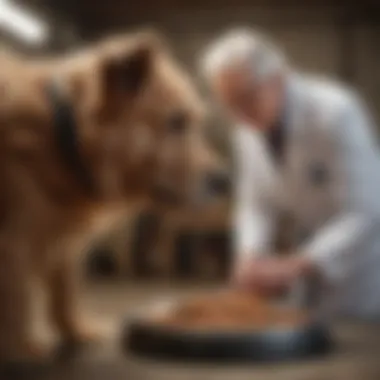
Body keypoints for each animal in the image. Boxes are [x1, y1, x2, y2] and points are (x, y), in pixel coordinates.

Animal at [0, 29, 220, 362]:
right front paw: (20, 348)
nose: (225, 180)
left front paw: (76, 331)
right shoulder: (14, 239)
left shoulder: (62, 240)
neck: (64, 138)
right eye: (176, 121)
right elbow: (17, 297)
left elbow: (65, 289)